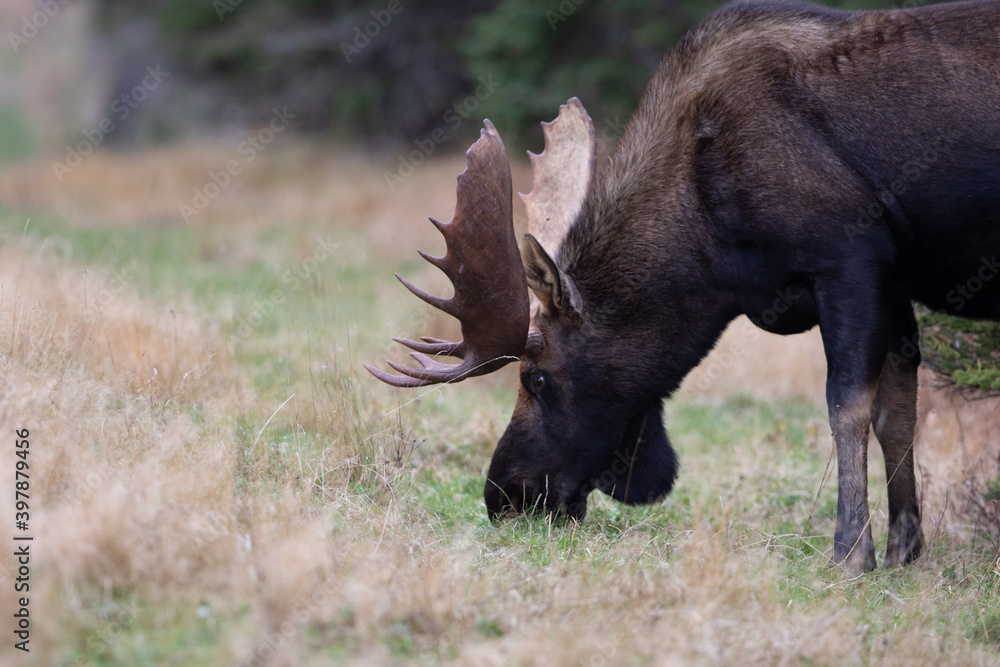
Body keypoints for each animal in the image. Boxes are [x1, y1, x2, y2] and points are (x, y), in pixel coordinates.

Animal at [372, 0, 1000, 576]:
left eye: (537, 377)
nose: (504, 495)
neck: (716, 251)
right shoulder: (894, 282)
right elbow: (898, 413)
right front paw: (904, 551)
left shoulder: (851, 259)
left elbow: (847, 406)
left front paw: (850, 552)